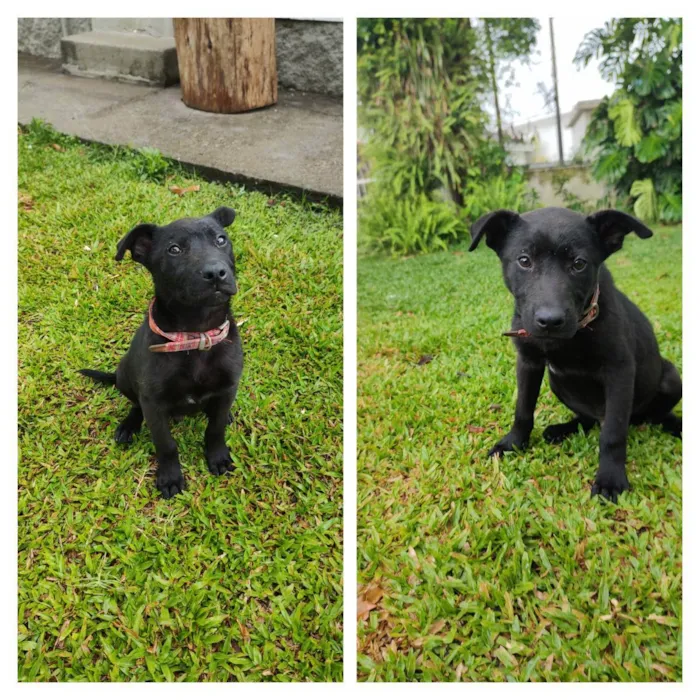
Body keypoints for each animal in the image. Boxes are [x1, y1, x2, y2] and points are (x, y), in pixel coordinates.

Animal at [79, 208, 242, 498]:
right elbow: (166, 444)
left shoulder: (228, 386)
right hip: (125, 375)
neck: (195, 337)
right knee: (135, 404)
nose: (216, 273)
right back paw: (128, 425)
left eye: (221, 240)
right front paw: (170, 477)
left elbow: (215, 428)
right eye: (174, 249)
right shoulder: (154, 404)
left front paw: (218, 456)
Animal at [468, 205, 680, 500]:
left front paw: (610, 478)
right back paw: (563, 429)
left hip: (670, 377)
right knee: (588, 419)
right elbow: (523, 409)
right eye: (524, 260)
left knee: (646, 417)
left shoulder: (620, 372)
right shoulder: (528, 363)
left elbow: (614, 433)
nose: (549, 321)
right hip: (557, 383)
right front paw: (513, 443)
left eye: (579, 264)